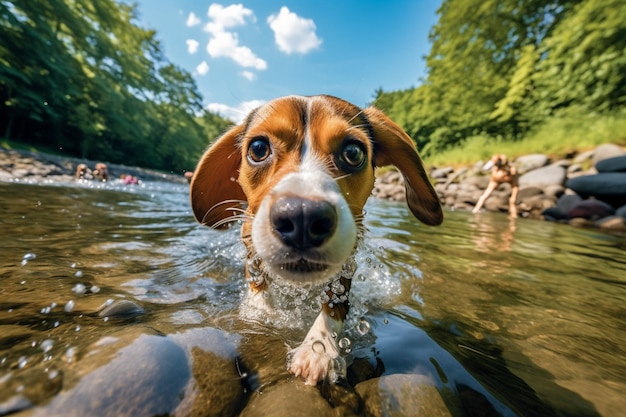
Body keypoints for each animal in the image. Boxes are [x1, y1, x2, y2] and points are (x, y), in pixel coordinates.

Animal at [188, 94, 442, 384]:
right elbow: (258, 285)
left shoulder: (346, 261)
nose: (302, 216)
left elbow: (334, 304)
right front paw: (261, 313)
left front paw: (318, 348)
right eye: (258, 148)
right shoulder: (251, 246)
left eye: (353, 152)